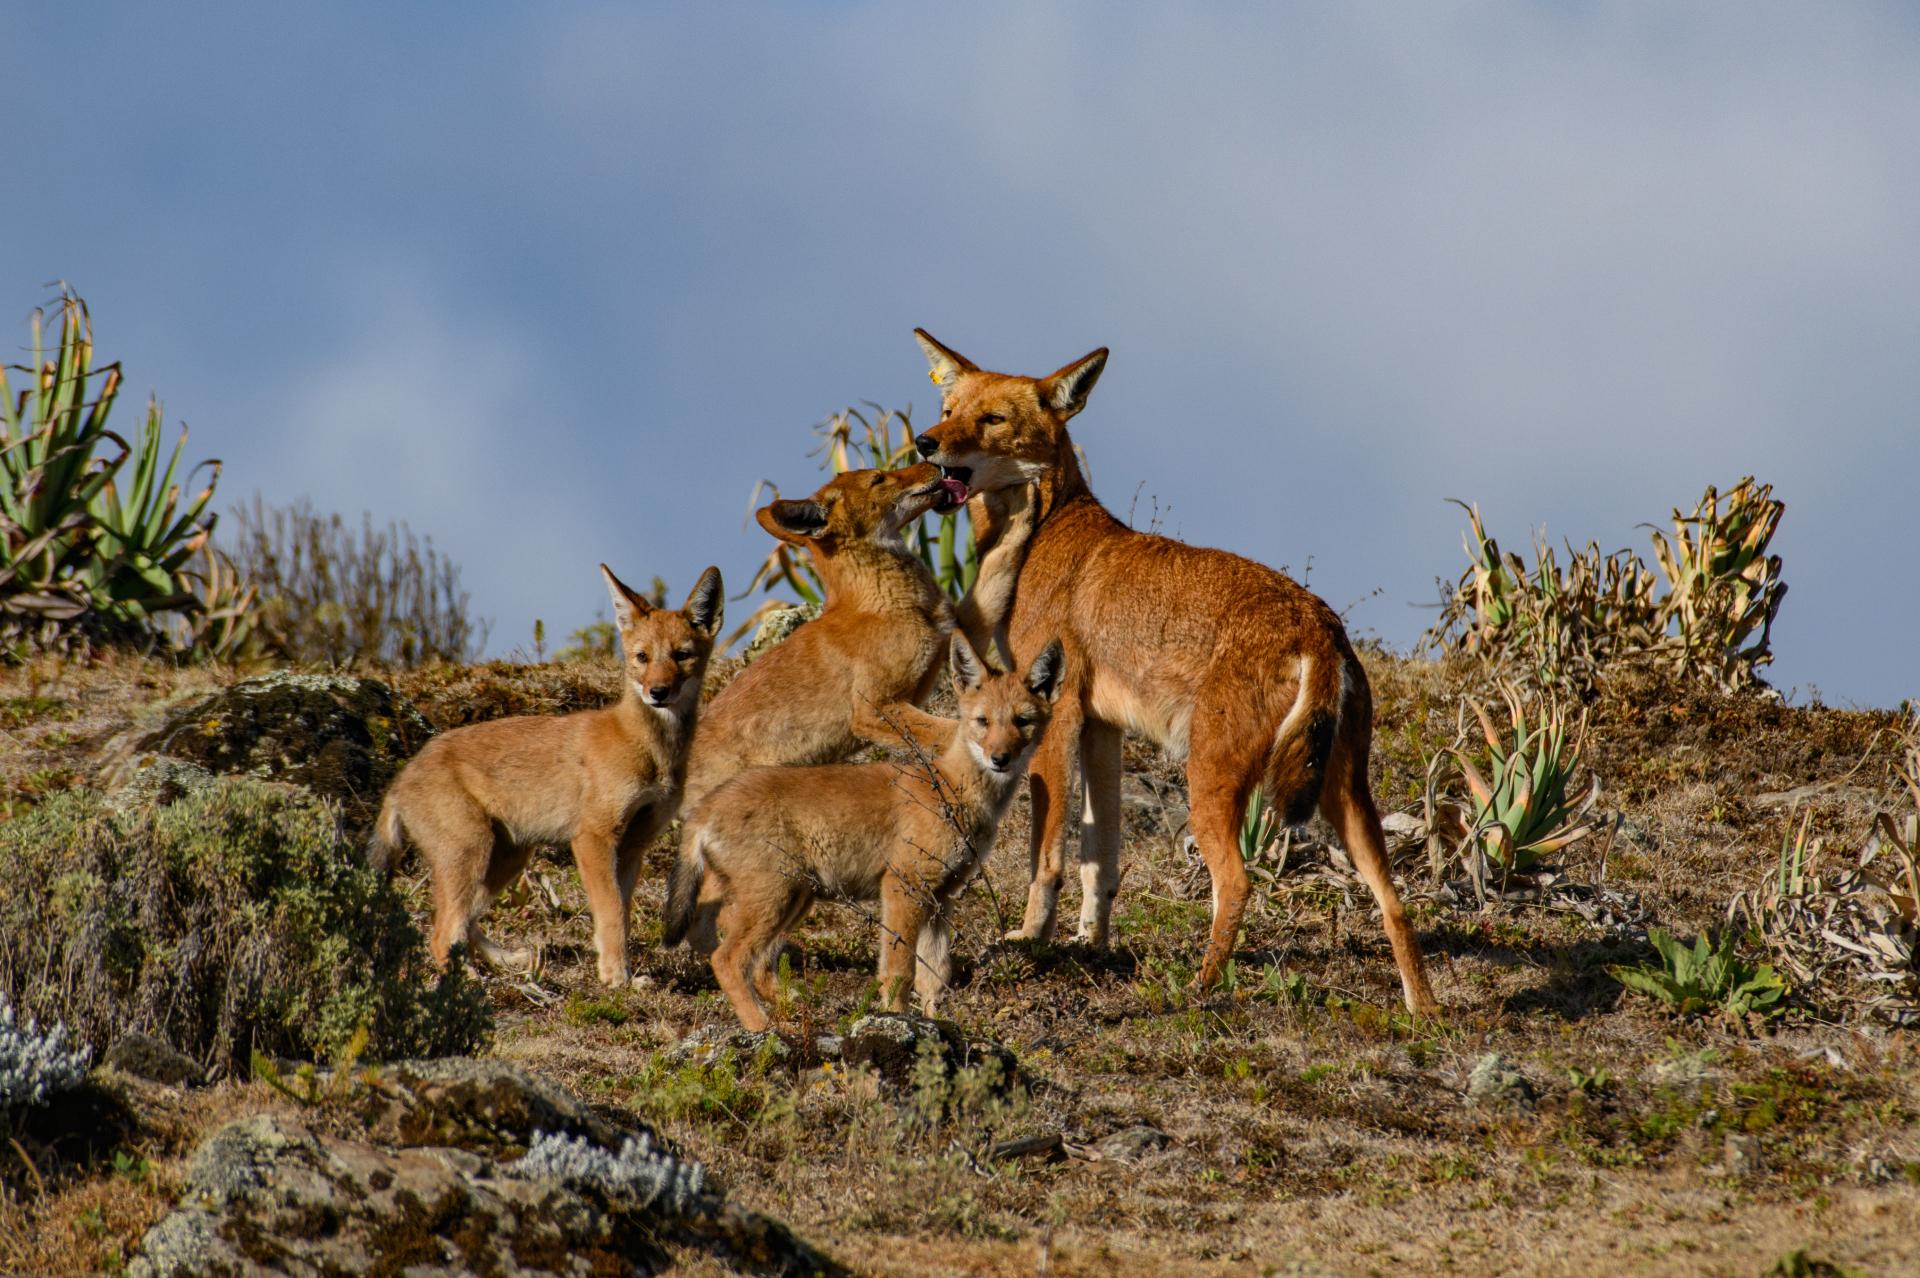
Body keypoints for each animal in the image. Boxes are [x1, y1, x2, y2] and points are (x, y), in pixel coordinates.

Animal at [913, 333, 1443, 1013]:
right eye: (948, 410)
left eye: (992, 420)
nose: (924, 443)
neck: (1038, 538)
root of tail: (1317, 625)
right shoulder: (1100, 729)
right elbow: (1099, 859)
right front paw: (1091, 945)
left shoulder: (1054, 720)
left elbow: (1046, 856)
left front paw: (1032, 940)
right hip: (1344, 798)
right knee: (1395, 901)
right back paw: (1423, 1012)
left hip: (1209, 785)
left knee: (1237, 884)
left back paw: (1199, 989)